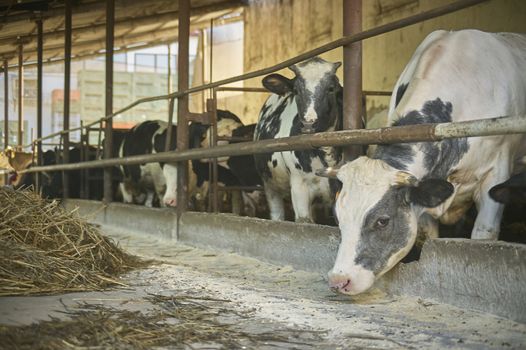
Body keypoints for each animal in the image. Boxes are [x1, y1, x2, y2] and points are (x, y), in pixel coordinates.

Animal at [256, 56, 346, 223]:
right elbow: (303, 221)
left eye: (331, 88)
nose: (308, 124)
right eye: (296, 91)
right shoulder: (299, 186)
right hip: (270, 186)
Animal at [324, 30, 526, 296]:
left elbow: (484, 233)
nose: (339, 280)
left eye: (382, 221)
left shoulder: (497, 172)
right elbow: (429, 235)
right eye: (338, 217)